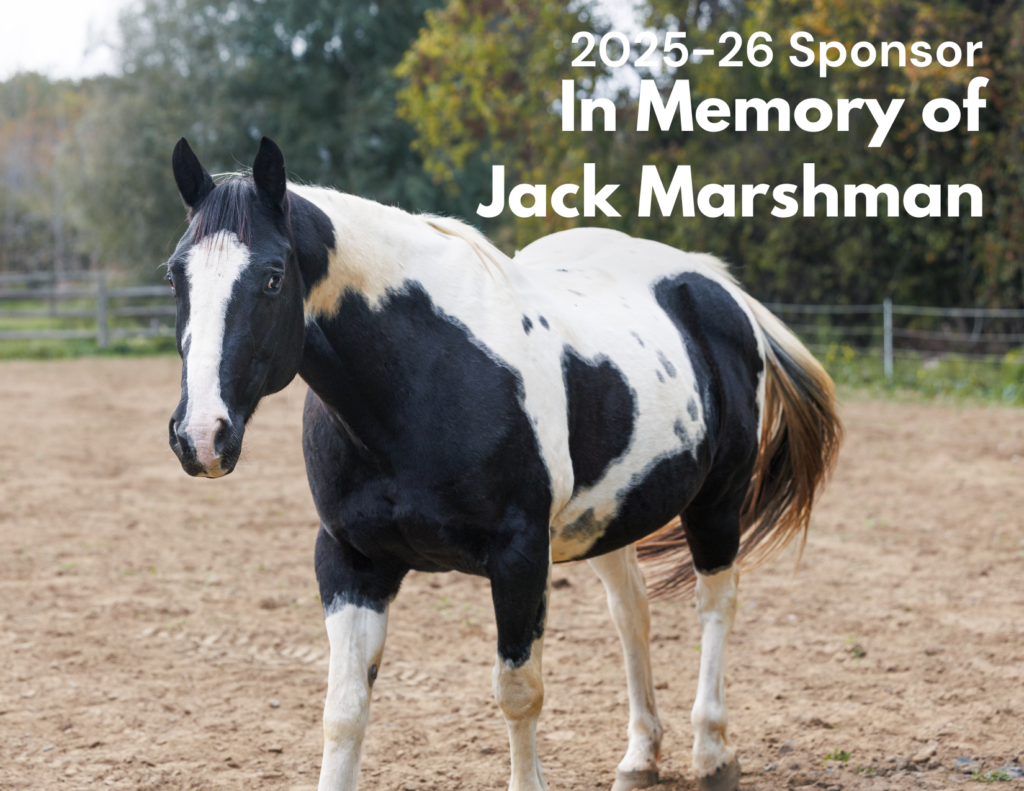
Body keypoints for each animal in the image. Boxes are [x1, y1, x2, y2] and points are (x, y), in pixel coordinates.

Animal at [165, 136, 841, 791]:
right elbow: (344, 710)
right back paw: (641, 757)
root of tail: (712, 285)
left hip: (716, 503)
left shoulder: (519, 558)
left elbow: (519, 694)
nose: (201, 434)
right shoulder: (349, 561)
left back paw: (712, 755)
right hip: (610, 520)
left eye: (273, 276)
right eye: (175, 276)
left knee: (715, 606)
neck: (425, 377)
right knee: (633, 616)